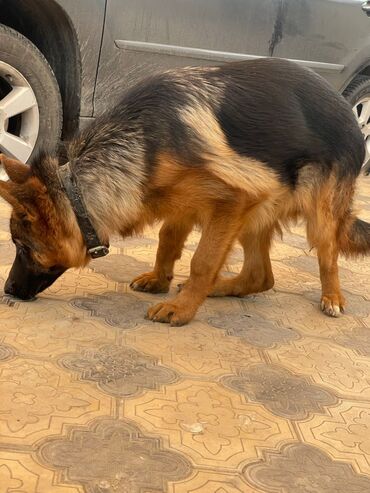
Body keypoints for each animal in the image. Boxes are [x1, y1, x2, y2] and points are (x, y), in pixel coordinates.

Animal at [0, 57, 370, 324]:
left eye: (22, 247)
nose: (8, 290)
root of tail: (347, 110)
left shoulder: (235, 199)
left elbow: (202, 261)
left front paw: (182, 308)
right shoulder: (184, 204)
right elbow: (167, 240)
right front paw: (161, 279)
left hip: (313, 214)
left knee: (327, 255)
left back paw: (332, 297)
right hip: (257, 215)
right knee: (260, 277)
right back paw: (221, 288)